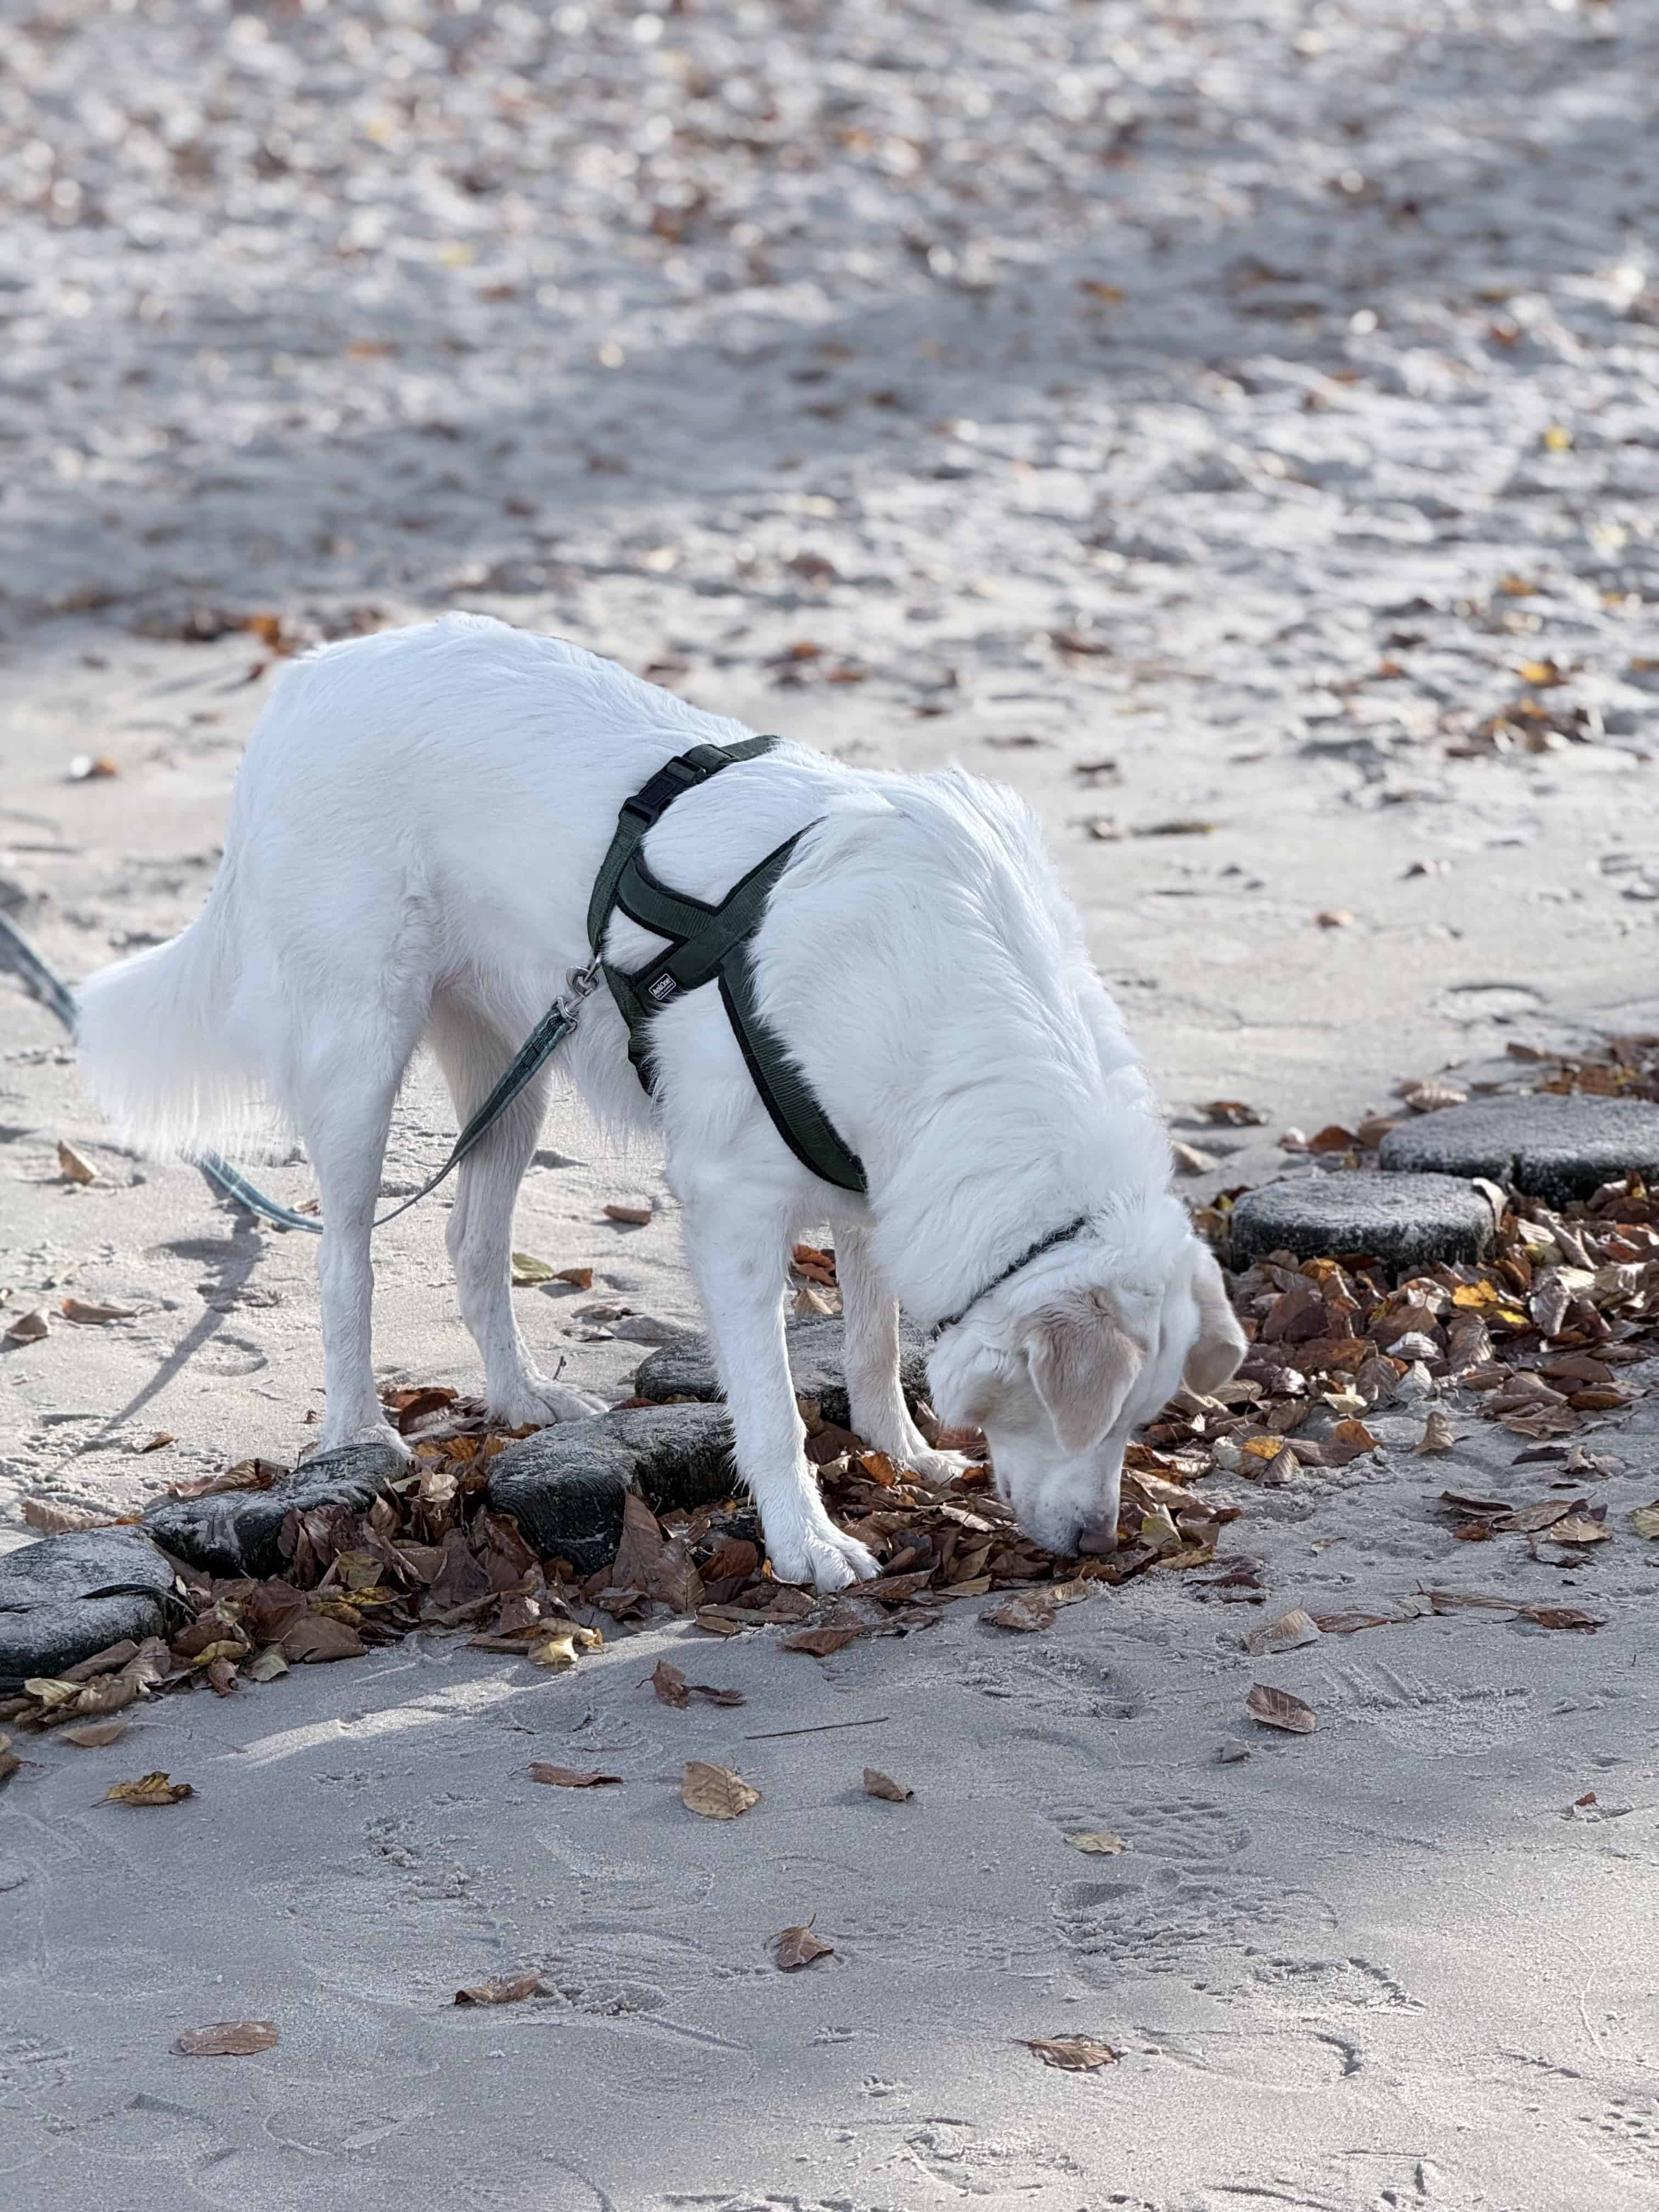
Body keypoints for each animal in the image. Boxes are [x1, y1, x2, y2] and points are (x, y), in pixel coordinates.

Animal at [77, 615, 1244, 1591]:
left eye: (1140, 1421)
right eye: (1089, 1419)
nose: (1097, 1543)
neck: (959, 1006)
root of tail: (311, 676)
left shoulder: (873, 1174)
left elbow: (872, 1341)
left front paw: (900, 1451)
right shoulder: (733, 1206)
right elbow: (770, 1407)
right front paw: (807, 1542)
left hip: (512, 1068)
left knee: (470, 1245)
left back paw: (520, 1399)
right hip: (361, 1051)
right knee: (344, 1258)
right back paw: (362, 1428)